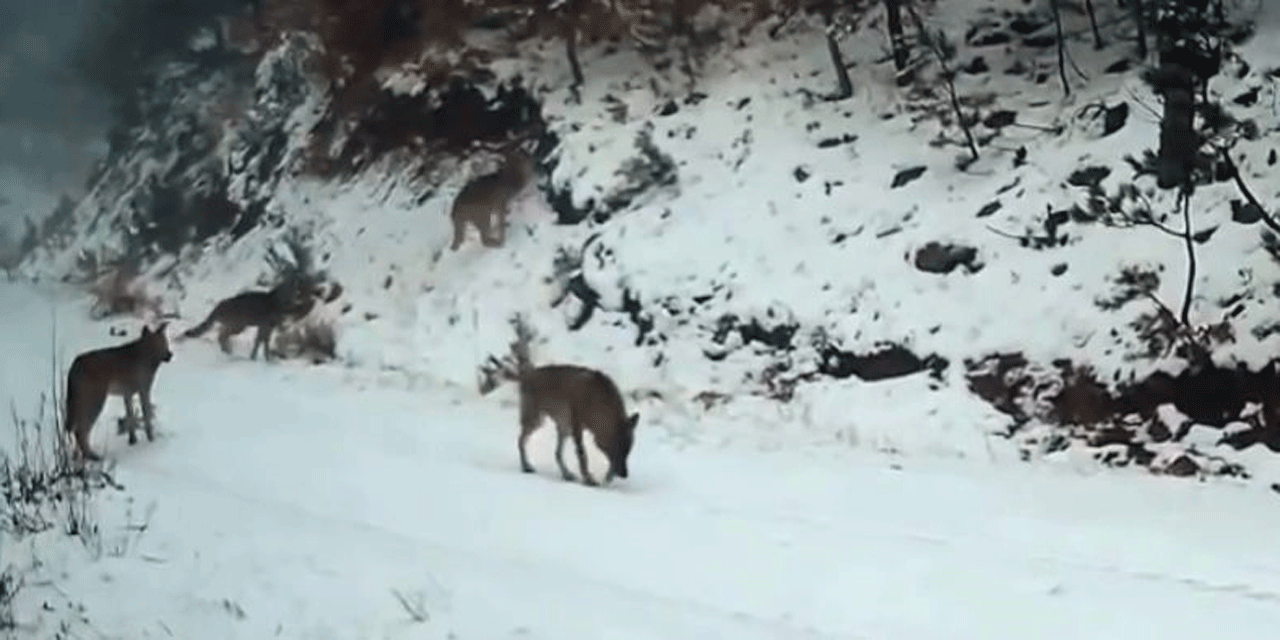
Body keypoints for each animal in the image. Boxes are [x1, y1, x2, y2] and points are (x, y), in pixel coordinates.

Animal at [64, 322, 172, 463]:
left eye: (166, 341)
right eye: (159, 343)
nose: (170, 355)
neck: (147, 358)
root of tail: (74, 366)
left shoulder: (127, 393)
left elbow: (130, 417)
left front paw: (132, 441)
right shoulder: (144, 389)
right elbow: (147, 416)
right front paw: (151, 439)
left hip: (79, 401)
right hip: (96, 399)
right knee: (81, 430)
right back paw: (94, 457)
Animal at [181, 284, 313, 363]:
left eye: (292, 289)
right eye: (285, 289)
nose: (294, 294)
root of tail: (220, 304)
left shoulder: (268, 327)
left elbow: (263, 342)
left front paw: (263, 358)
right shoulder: (265, 325)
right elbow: (260, 342)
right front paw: (259, 358)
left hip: (236, 325)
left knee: (222, 334)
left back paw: (227, 349)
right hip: (239, 325)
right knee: (222, 335)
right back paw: (228, 350)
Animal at [481, 313, 640, 483]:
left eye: (628, 450)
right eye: (618, 448)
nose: (624, 474)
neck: (597, 404)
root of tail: (527, 374)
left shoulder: (578, 428)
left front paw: (605, 478)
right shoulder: (577, 425)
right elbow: (582, 455)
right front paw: (589, 478)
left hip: (561, 426)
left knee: (556, 453)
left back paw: (567, 474)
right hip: (537, 420)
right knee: (521, 441)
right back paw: (526, 466)